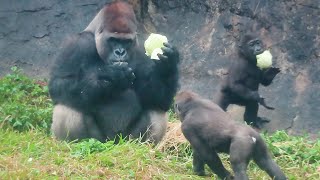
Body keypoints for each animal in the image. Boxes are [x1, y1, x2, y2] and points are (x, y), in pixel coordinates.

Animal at [49, 0, 180, 143]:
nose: (120, 52)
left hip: (127, 139)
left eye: (126, 41)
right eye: (113, 40)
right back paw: (76, 143)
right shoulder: (75, 44)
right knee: (68, 103)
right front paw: (113, 77)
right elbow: (59, 84)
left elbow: (159, 97)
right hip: (101, 140)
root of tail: (114, 143)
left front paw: (167, 65)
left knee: (156, 108)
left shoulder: (140, 52)